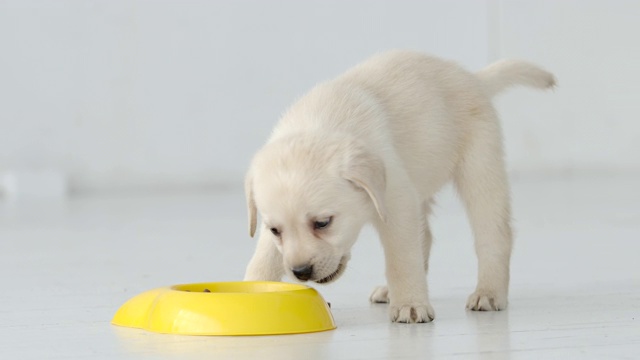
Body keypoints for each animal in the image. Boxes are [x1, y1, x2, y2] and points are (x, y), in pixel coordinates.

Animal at [242, 50, 552, 324]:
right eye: (275, 230)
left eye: (322, 223)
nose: (301, 271)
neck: (322, 123)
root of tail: (474, 78)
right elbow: (263, 259)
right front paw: (250, 292)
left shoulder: (397, 203)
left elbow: (401, 260)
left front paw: (411, 305)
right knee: (425, 237)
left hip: (479, 170)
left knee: (493, 235)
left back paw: (488, 292)